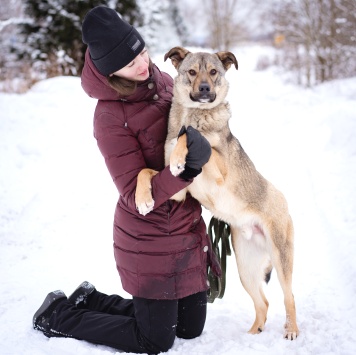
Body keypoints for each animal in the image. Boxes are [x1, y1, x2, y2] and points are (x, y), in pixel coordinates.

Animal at [135, 46, 298, 340]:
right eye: (191, 71)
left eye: (213, 72)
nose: (203, 89)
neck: (195, 114)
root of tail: (283, 200)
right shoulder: (176, 191)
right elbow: (146, 170)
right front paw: (142, 198)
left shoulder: (220, 170)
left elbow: (193, 138)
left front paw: (182, 150)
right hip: (245, 268)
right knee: (263, 302)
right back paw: (253, 333)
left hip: (281, 257)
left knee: (288, 296)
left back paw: (291, 330)